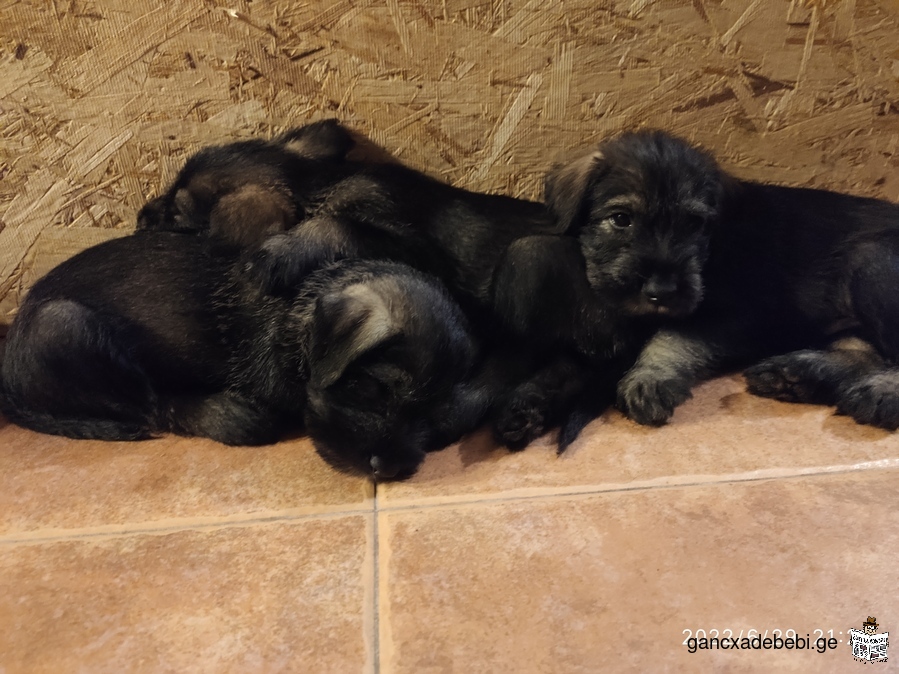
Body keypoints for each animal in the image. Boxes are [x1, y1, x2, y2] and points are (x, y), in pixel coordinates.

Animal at [1, 232, 492, 478]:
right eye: (373, 387)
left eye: (432, 417)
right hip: (64, 323)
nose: (388, 470)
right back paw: (230, 414)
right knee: (153, 404)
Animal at [548, 129, 899, 428]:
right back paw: (794, 374)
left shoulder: (739, 315)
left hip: (872, 262)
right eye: (621, 219)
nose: (661, 291)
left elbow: (675, 336)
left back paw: (881, 393)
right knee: (864, 353)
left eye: (694, 223)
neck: (713, 251)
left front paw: (649, 378)